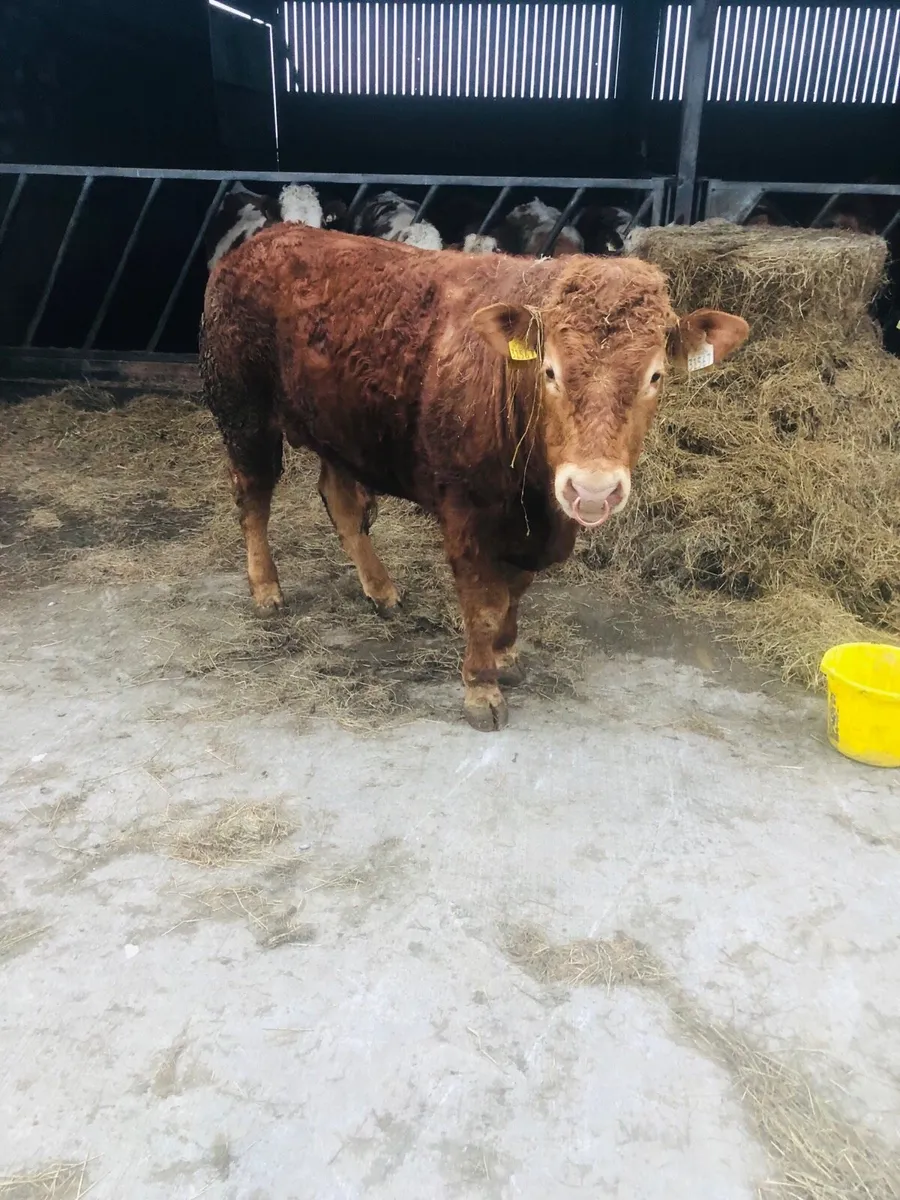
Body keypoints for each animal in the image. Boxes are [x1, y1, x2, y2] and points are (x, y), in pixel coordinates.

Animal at [200, 225, 749, 729]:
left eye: (655, 376)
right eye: (550, 371)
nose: (592, 489)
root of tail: (263, 239)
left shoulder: (534, 526)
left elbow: (515, 591)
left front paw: (505, 655)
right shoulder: (465, 511)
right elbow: (484, 603)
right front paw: (481, 689)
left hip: (337, 429)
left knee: (342, 501)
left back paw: (381, 590)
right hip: (243, 413)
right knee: (253, 498)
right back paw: (266, 589)